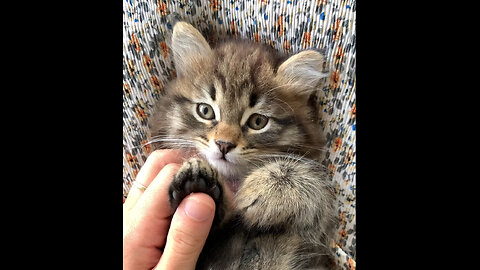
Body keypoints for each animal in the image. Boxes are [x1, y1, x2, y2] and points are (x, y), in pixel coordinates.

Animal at [148, 21, 336, 270]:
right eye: (205, 111)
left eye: (258, 122)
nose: (223, 145)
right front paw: (196, 180)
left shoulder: (313, 235)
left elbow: (310, 185)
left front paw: (263, 188)